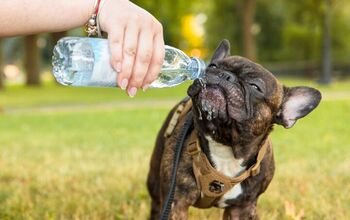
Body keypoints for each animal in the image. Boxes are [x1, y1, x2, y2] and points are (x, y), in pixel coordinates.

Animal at [146, 40, 322, 220]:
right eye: (213, 66)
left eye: (255, 87)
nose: (225, 75)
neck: (225, 144)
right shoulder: (176, 201)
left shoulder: (243, 208)